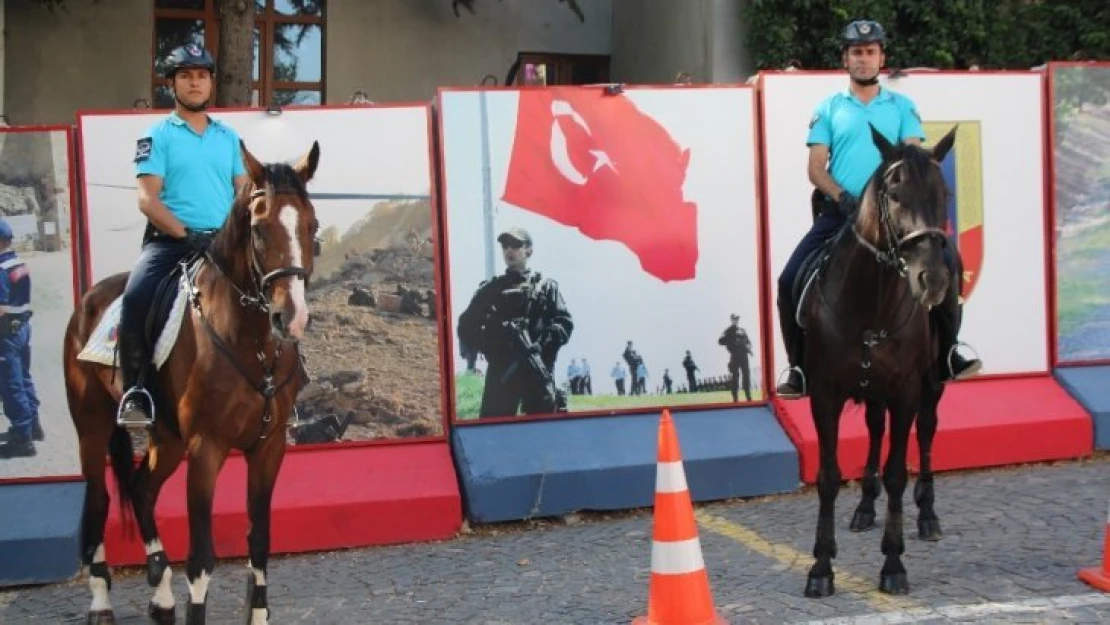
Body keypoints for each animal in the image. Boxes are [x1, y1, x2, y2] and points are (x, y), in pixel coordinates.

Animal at [63, 139, 319, 621]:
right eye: (259, 231)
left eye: (311, 228)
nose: (290, 318)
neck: (251, 342)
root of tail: (88, 300)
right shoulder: (206, 448)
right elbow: (201, 558)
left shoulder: (268, 447)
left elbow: (260, 542)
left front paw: (258, 613)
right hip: (93, 425)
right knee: (97, 500)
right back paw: (101, 598)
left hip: (166, 439)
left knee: (141, 491)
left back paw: (160, 595)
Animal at [794, 124, 959, 599]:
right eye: (896, 194)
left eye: (944, 194)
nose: (931, 280)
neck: (870, 300)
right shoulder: (825, 394)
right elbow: (828, 476)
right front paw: (821, 568)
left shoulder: (905, 390)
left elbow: (897, 475)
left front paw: (893, 563)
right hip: (870, 391)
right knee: (873, 429)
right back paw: (865, 508)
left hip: (930, 384)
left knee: (926, 431)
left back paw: (928, 516)